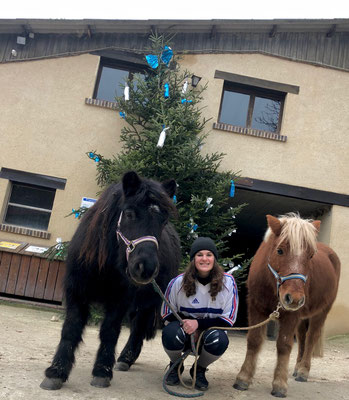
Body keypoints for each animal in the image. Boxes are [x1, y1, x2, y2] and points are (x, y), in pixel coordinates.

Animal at [41, 172, 181, 390]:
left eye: (163, 220)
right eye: (130, 213)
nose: (146, 268)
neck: (103, 265)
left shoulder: (120, 300)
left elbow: (110, 331)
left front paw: (102, 371)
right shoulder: (76, 294)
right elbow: (71, 328)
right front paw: (56, 372)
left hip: (149, 301)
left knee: (138, 328)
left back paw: (125, 358)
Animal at [232, 212, 338, 396]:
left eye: (311, 255)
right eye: (280, 250)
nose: (294, 298)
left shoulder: (291, 314)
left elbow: (284, 344)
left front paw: (280, 384)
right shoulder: (256, 307)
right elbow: (253, 340)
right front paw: (243, 378)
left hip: (321, 312)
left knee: (311, 337)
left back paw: (303, 371)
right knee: (302, 337)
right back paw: (296, 367)